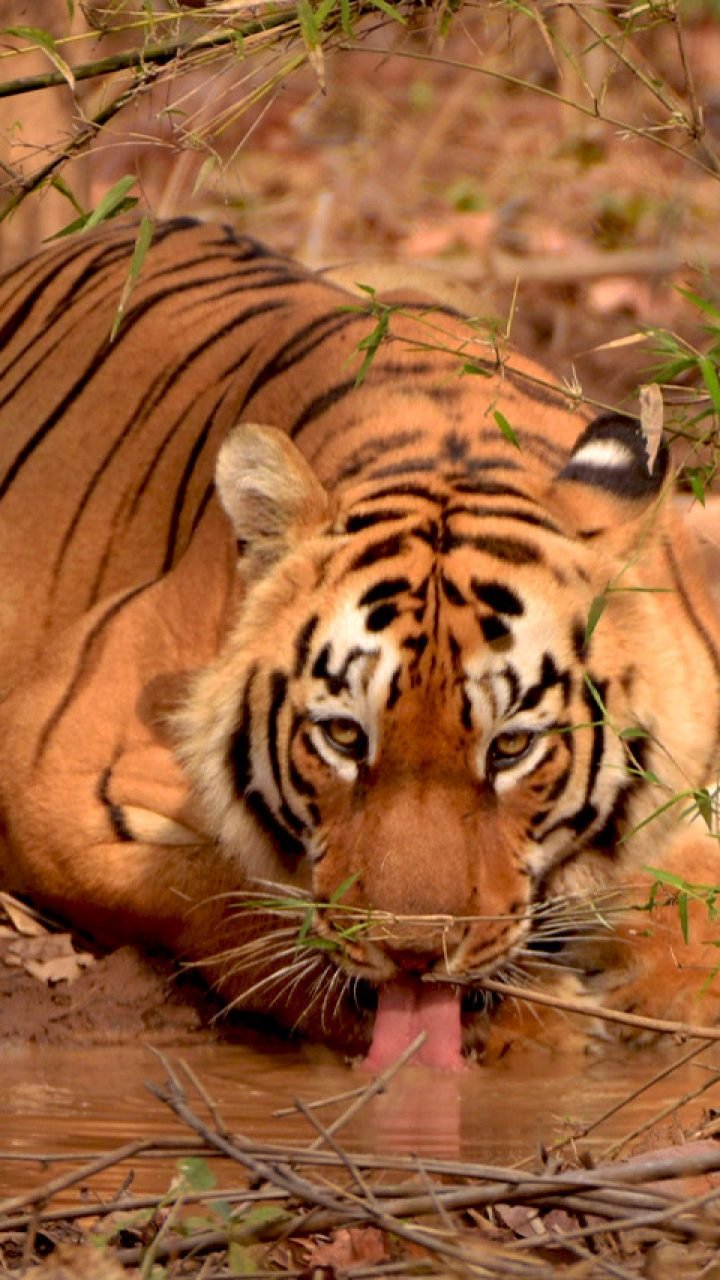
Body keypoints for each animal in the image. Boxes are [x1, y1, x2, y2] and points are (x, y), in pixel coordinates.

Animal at [0, 216, 719, 1067]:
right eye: (345, 737)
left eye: (511, 748)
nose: (413, 955)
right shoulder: (56, 774)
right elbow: (234, 892)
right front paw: (538, 1018)